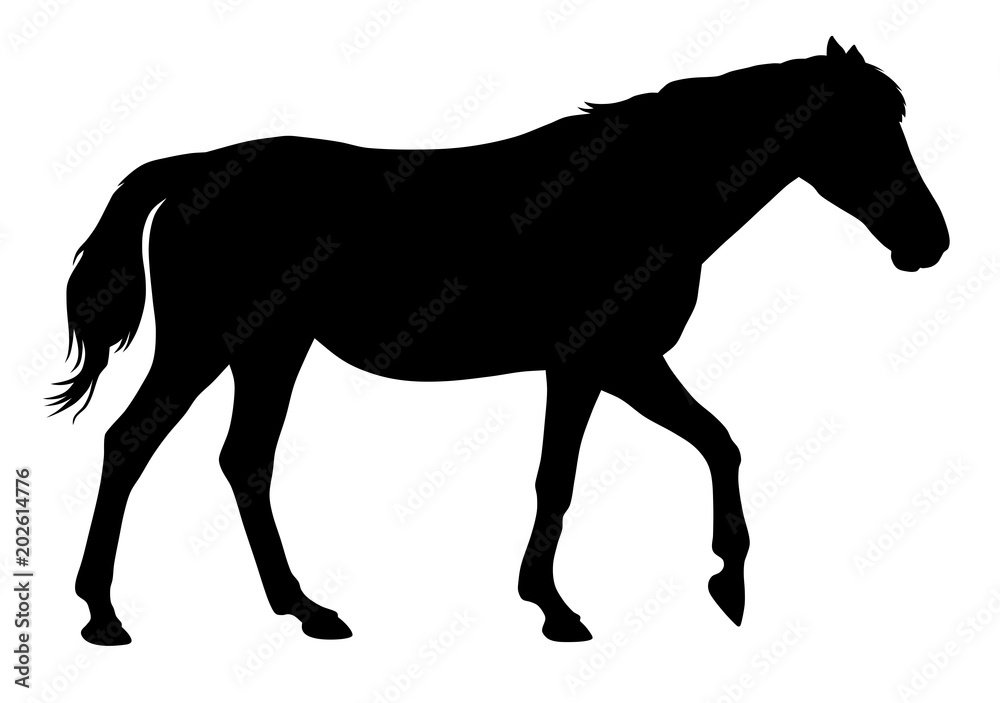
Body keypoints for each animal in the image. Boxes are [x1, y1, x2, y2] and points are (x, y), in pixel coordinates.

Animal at [51, 37, 948, 645]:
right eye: (862, 128)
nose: (929, 241)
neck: (639, 191)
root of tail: (191, 168)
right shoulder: (597, 361)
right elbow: (572, 476)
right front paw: (565, 605)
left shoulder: (617, 365)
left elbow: (701, 445)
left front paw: (717, 583)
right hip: (235, 345)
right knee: (161, 445)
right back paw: (114, 612)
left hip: (250, 349)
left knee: (214, 456)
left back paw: (285, 608)